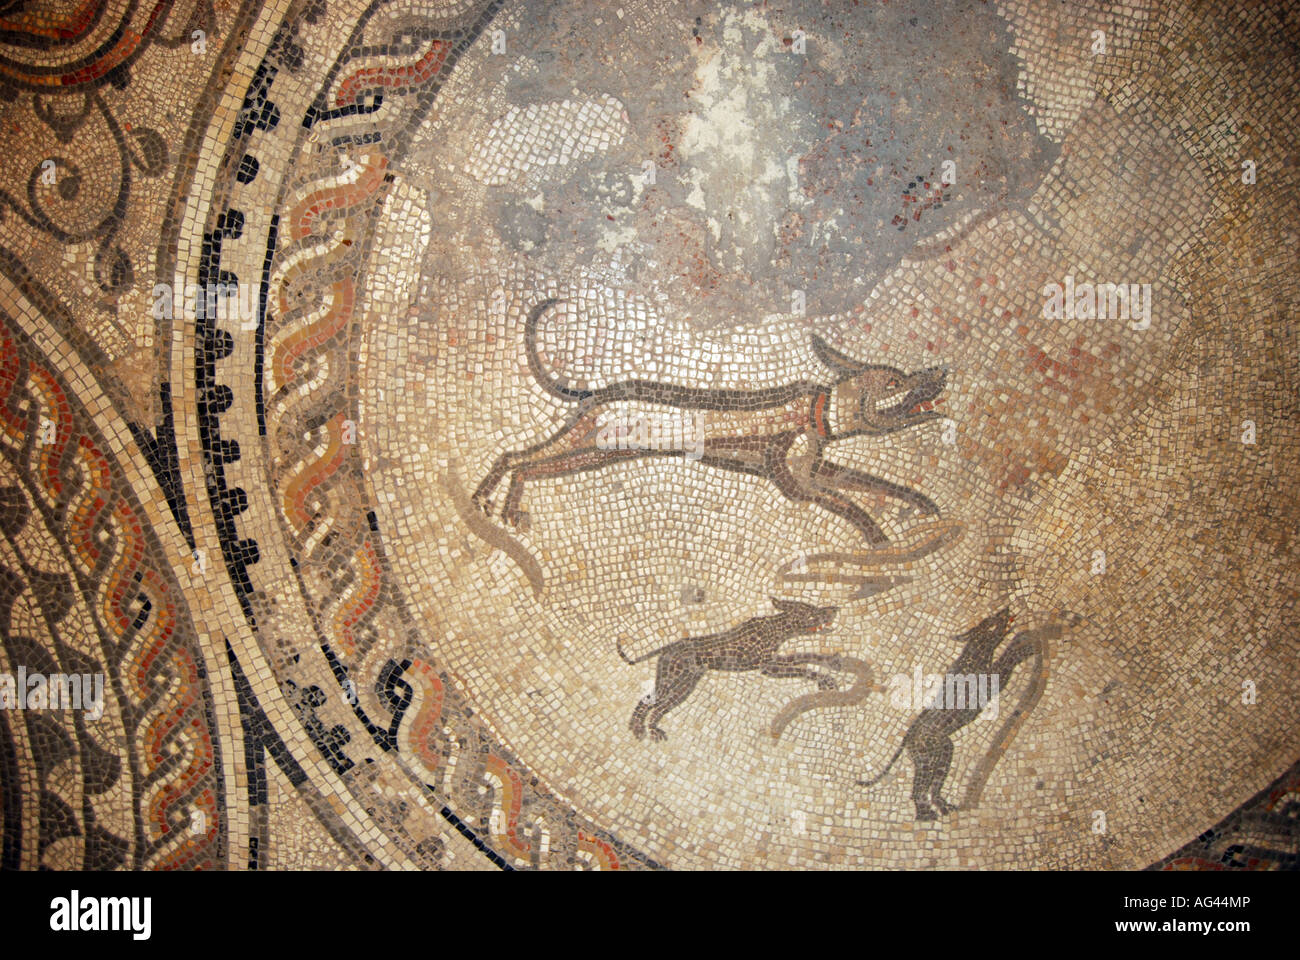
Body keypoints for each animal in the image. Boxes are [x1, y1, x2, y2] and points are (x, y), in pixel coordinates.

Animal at [473, 295, 951, 541]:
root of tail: (599, 392)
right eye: (894, 382)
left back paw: (492, 501)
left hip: (590, 452)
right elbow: (846, 503)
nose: (940, 373)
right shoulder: (794, 484)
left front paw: (924, 506)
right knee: (519, 461)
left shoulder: (817, 468)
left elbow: (875, 483)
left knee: (519, 459)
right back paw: (497, 504)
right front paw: (877, 537)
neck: (821, 413)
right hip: (588, 444)